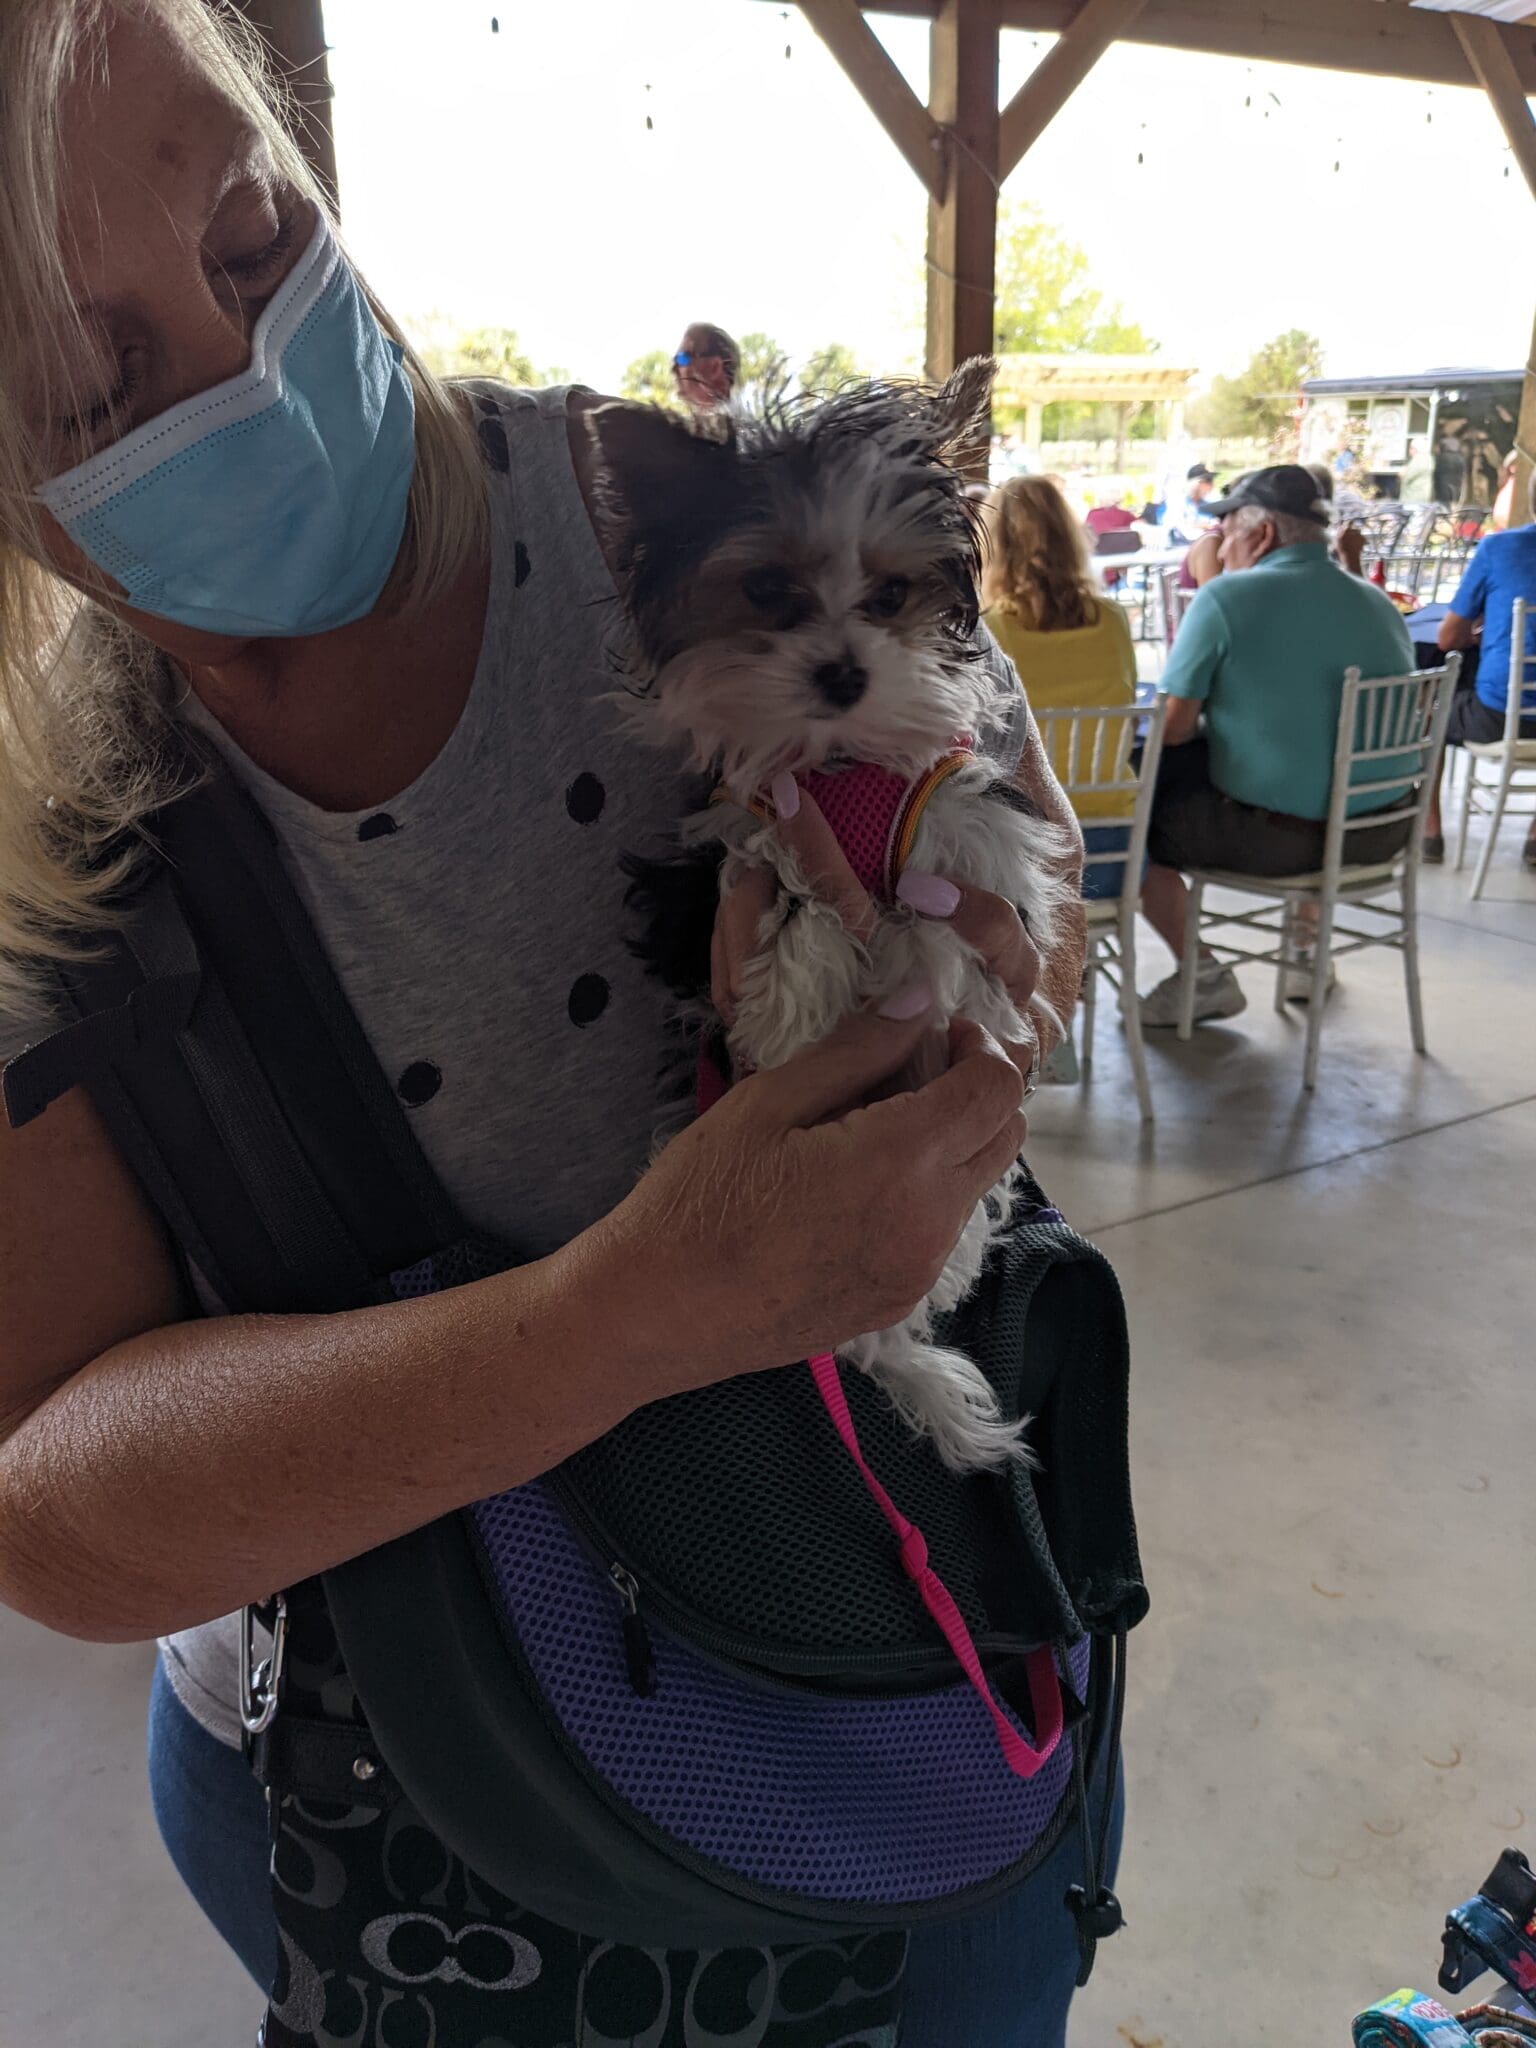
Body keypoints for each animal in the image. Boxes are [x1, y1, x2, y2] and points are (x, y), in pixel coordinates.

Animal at [598, 364, 1073, 1474]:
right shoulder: (736, 845)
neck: (843, 759)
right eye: (768, 590)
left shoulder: (973, 833)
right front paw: (807, 1000)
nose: (844, 672)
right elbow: (793, 908)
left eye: (891, 596)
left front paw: (915, 958)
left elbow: (948, 923)